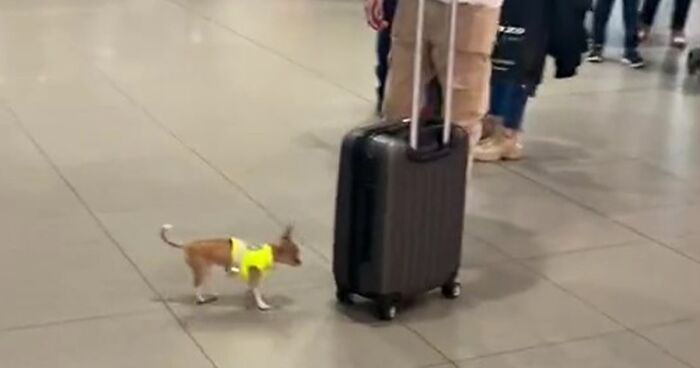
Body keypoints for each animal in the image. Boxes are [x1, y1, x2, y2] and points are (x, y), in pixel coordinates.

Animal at [160, 224, 302, 310]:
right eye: (294, 255)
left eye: (298, 252)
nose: (300, 262)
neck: (270, 252)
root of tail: (187, 245)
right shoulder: (255, 276)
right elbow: (257, 292)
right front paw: (262, 304)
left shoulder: (251, 277)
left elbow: (252, 289)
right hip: (200, 270)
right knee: (197, 285)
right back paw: (200, 299)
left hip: (207, 269)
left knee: (206, 282)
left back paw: (213, 293)